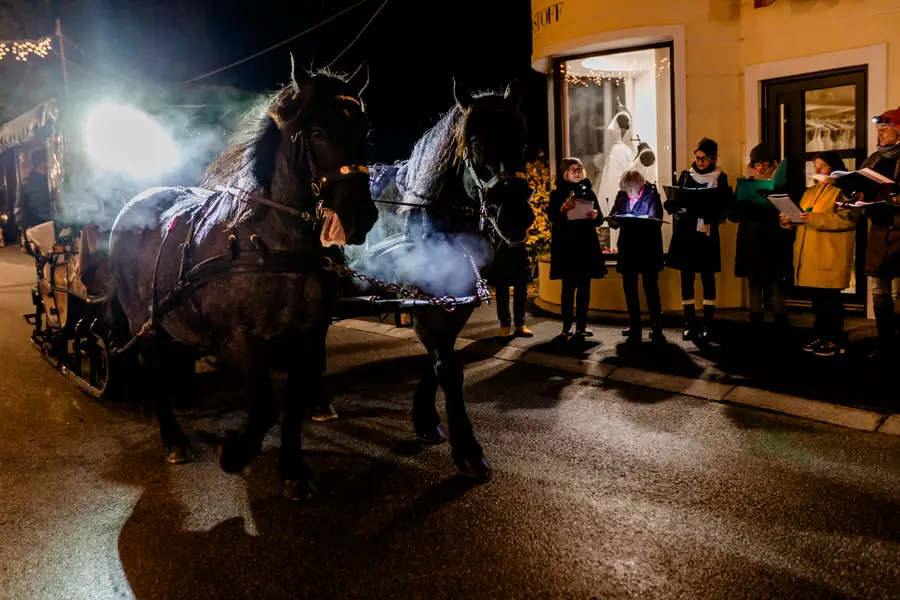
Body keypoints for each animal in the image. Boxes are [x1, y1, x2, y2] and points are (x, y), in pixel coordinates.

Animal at [106, 63, 380, 500]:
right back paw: (174, 439)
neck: (266, 242)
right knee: (155, 373)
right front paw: (235, 453)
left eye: (364, 128)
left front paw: (292, 470)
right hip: (141, 323)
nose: (361, 216)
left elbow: (294, 399)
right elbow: (266, 405)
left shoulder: (309, 334)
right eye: (318, 131)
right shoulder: (236, 338)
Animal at [342, 79, 532, 480]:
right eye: (475, 142)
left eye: (522, 138)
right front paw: (468, 449)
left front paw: (426, 418)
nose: (516, 216)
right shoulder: (420, 297)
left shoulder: (457, 296)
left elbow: (440, 360)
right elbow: (448, 366)